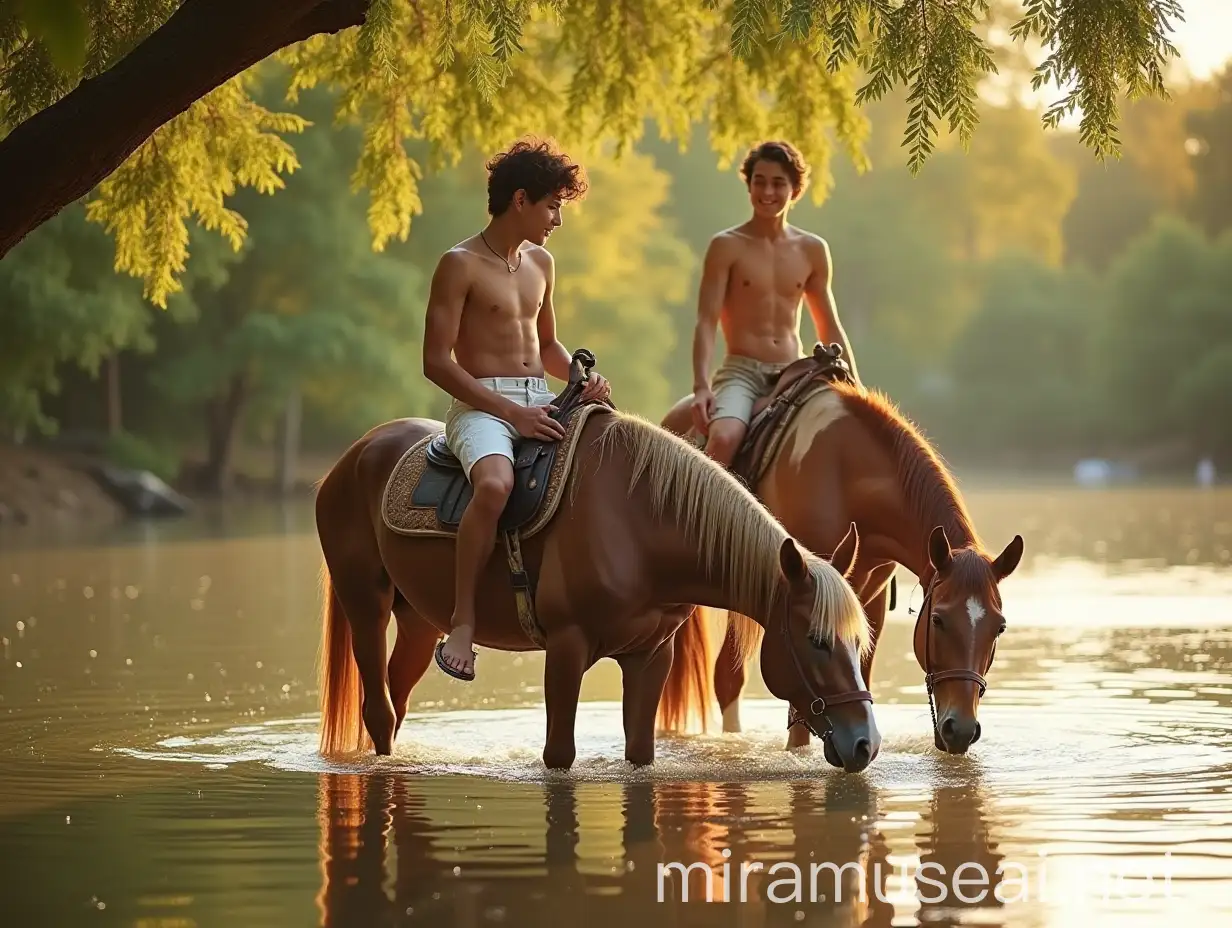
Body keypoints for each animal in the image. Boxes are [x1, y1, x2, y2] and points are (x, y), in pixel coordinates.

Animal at [312, 404, 882, 769]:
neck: (642, 521)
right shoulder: (566, 648)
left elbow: (640, 752)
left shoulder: (650, 655)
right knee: (379, 712)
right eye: (816, 642)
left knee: (396, 700)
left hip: (417, 622)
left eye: (861, 644)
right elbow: (558, 755)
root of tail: (354, 455)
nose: (865, 745)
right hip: (365, 605)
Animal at [660, 377, 1025, 754]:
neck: (851, 477)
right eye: (937, 619)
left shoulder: (870, 596)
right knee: (727, 679)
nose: (961, 729)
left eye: (999, 628)